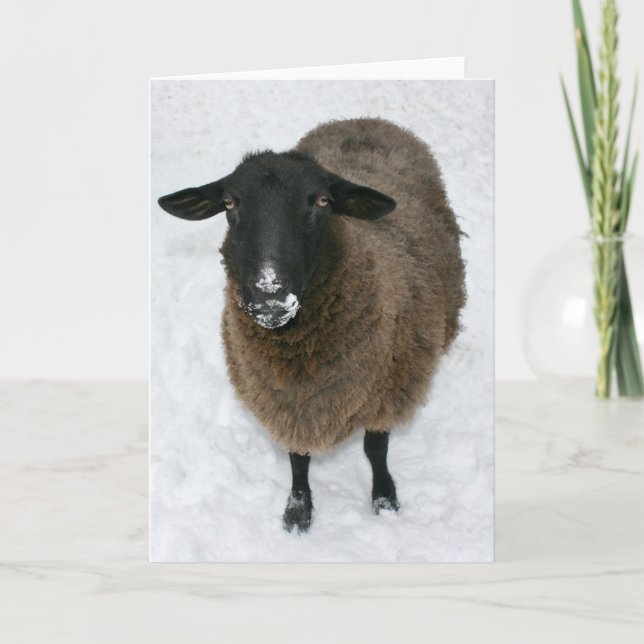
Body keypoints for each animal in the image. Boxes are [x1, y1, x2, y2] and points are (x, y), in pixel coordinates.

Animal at [158, 117, 466, 533]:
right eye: (229, 203)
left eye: (322, 201)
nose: (270, 296)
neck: (299, 351)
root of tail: (366, 119)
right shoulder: (284, 399)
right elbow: (298, 458)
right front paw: (298, 511)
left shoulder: (391, 383)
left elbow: (376, 448)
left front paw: (384, 498)